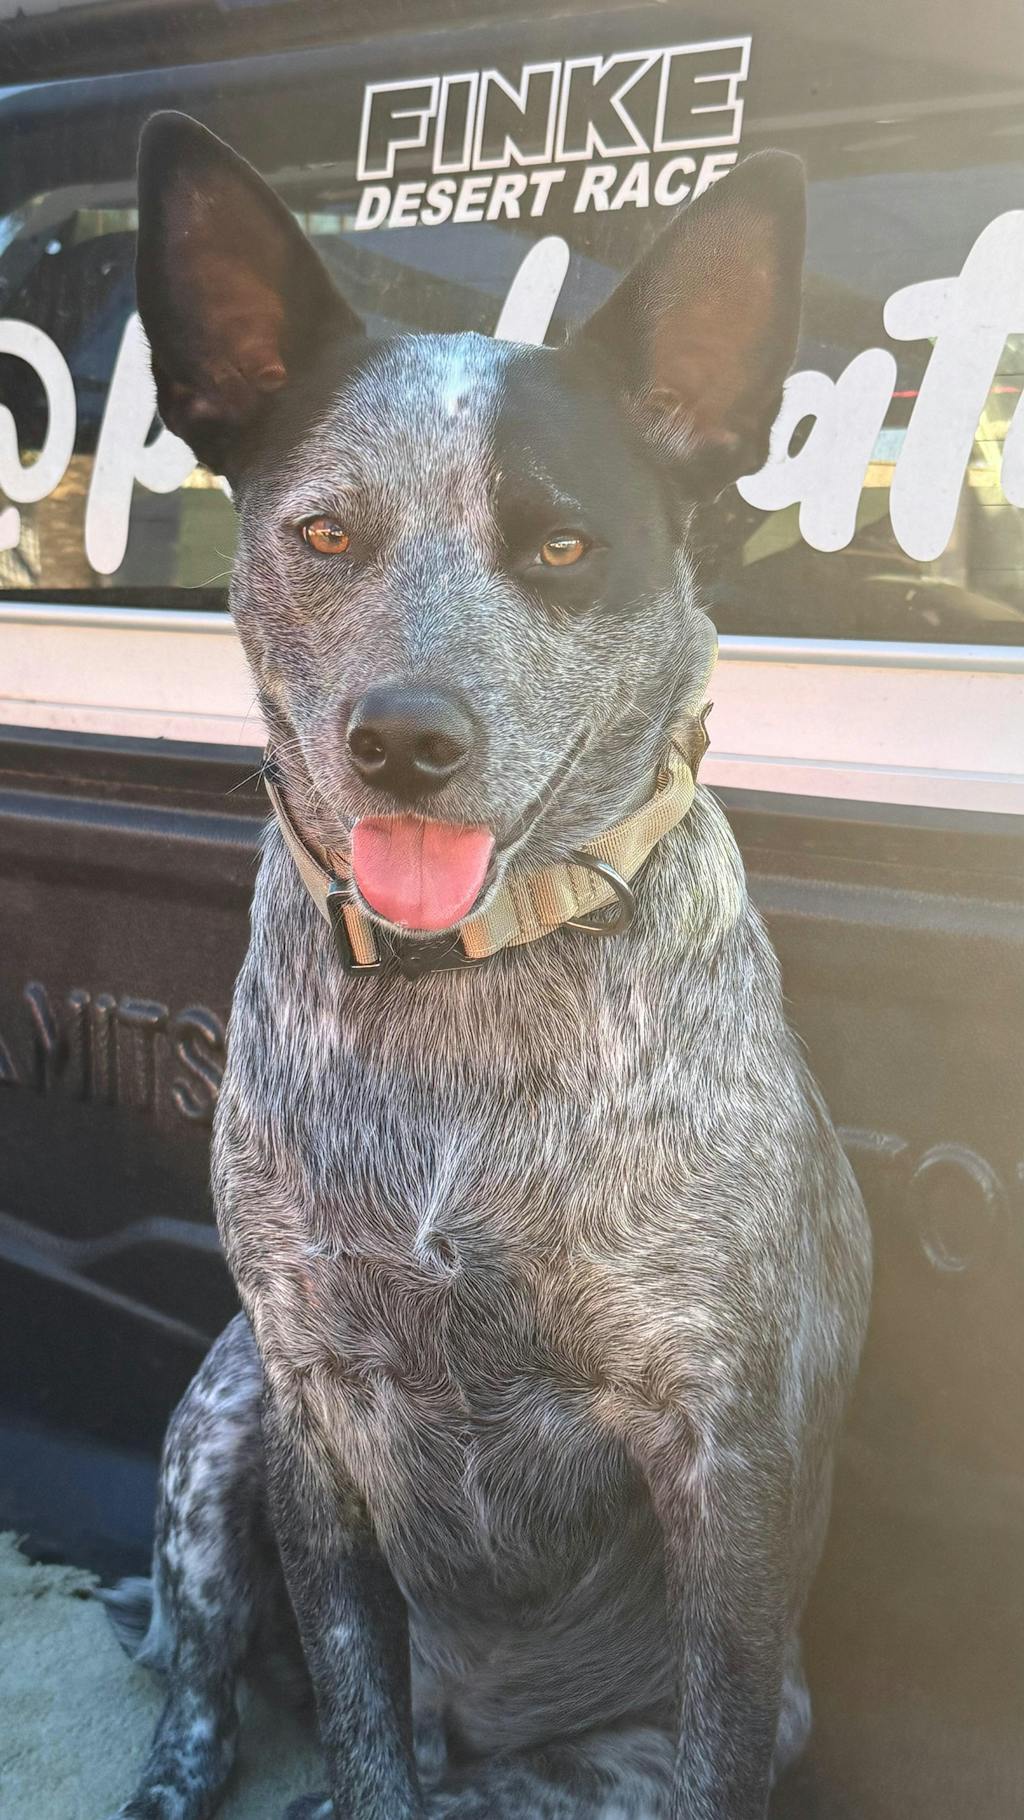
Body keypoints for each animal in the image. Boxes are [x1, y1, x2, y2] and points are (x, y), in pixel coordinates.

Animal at [101, 113, 872, 1820]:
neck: (459, 993)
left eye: (564, 543)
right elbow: (353, 1708)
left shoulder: (720, 1458)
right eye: (325, 532)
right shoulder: (313, 1409)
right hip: (216, 1417)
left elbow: (718, 1744)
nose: (405, 738)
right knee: (200, 1685)